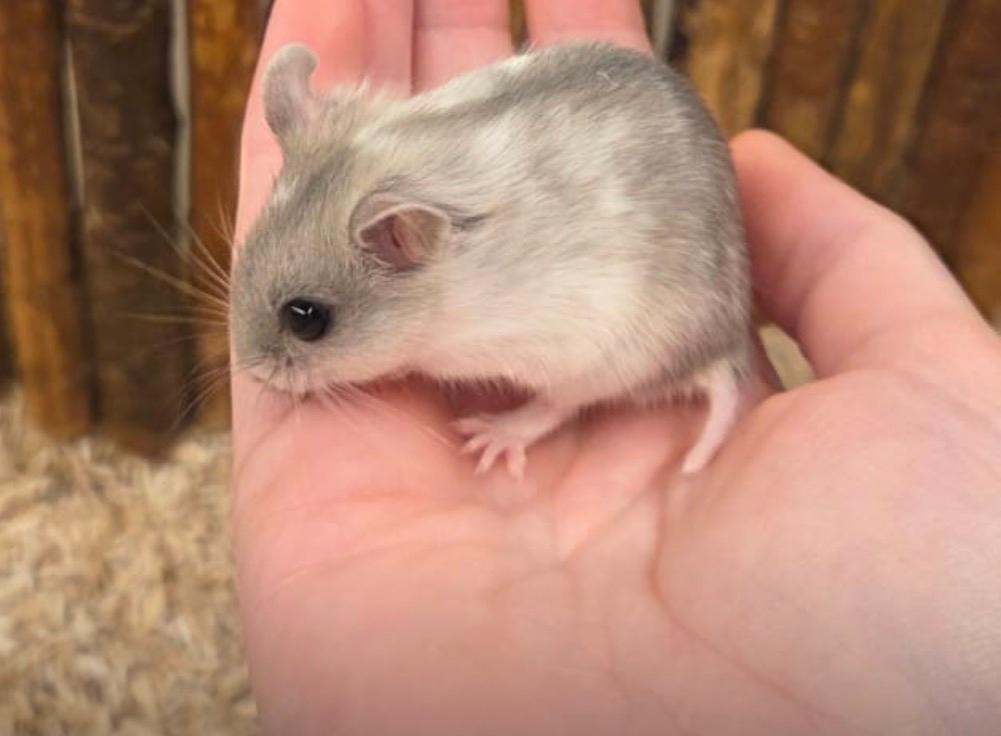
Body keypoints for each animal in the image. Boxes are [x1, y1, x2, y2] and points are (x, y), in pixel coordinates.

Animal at [231, 41, 752, 478]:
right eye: (243, 261)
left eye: (306, 318)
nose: (253, 373)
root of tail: (722, 344)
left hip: (605, 360)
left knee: (557, 406)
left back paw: (491, 437)